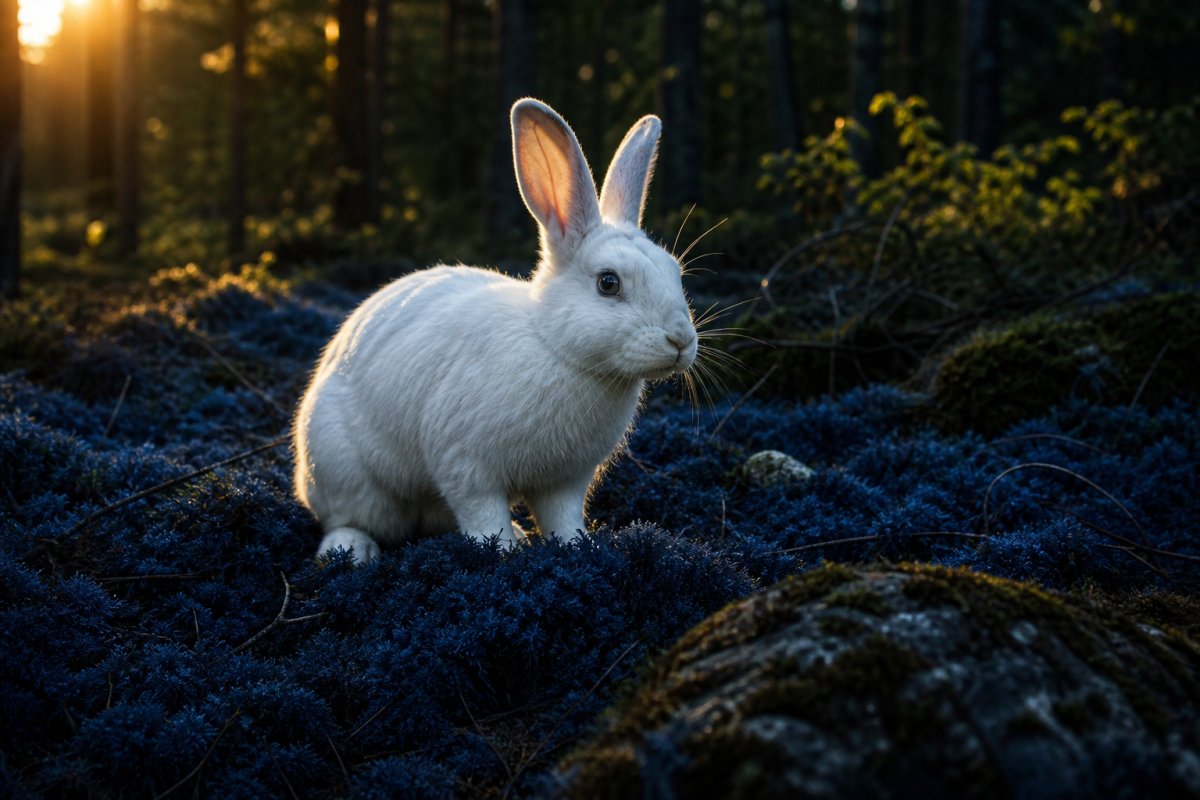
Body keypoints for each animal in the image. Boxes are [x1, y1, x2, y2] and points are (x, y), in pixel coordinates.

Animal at [293, 98, 697, 563]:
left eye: (675, 271)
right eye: (608, 283)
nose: (682, 340)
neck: (555, 347)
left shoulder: (565, 481)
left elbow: (561, 518)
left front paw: (575, 546)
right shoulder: (466, 465)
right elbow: (482, 514)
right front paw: (501, 553)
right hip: (349, 478)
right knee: (346, 520)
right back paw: (352, 551)